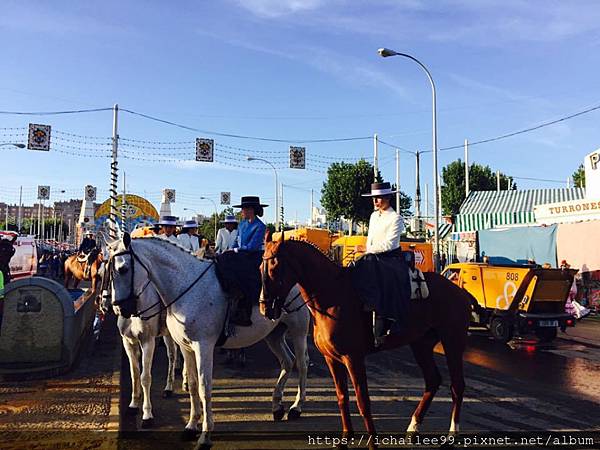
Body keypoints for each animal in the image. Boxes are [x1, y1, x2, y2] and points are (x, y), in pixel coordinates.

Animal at [108, 234, 312, 448]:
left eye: (123, 269)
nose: (120, 308)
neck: (185, 286)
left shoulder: (202, 347)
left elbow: (203, 387)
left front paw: (205, 435)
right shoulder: (185, 347)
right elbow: (192, 385)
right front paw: (191, 426)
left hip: (298, 330)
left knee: (302, 363)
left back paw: (297, 407)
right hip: (274, 335)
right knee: (287, 361)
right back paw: (277, 405)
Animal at [260, 237, 472, 444]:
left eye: (274, 268)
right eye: (260, 267)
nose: (265, 308)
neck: (333, 295)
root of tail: (460, 292)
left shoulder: (353, 357)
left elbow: (363, 401)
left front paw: (372, 442)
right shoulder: (332, 359)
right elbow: (342, 397)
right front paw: (345, 438)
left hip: (453, 341)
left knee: (457, 385)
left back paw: (452, 434)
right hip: (421, 344)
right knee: (433, 380)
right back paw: (413, 427)